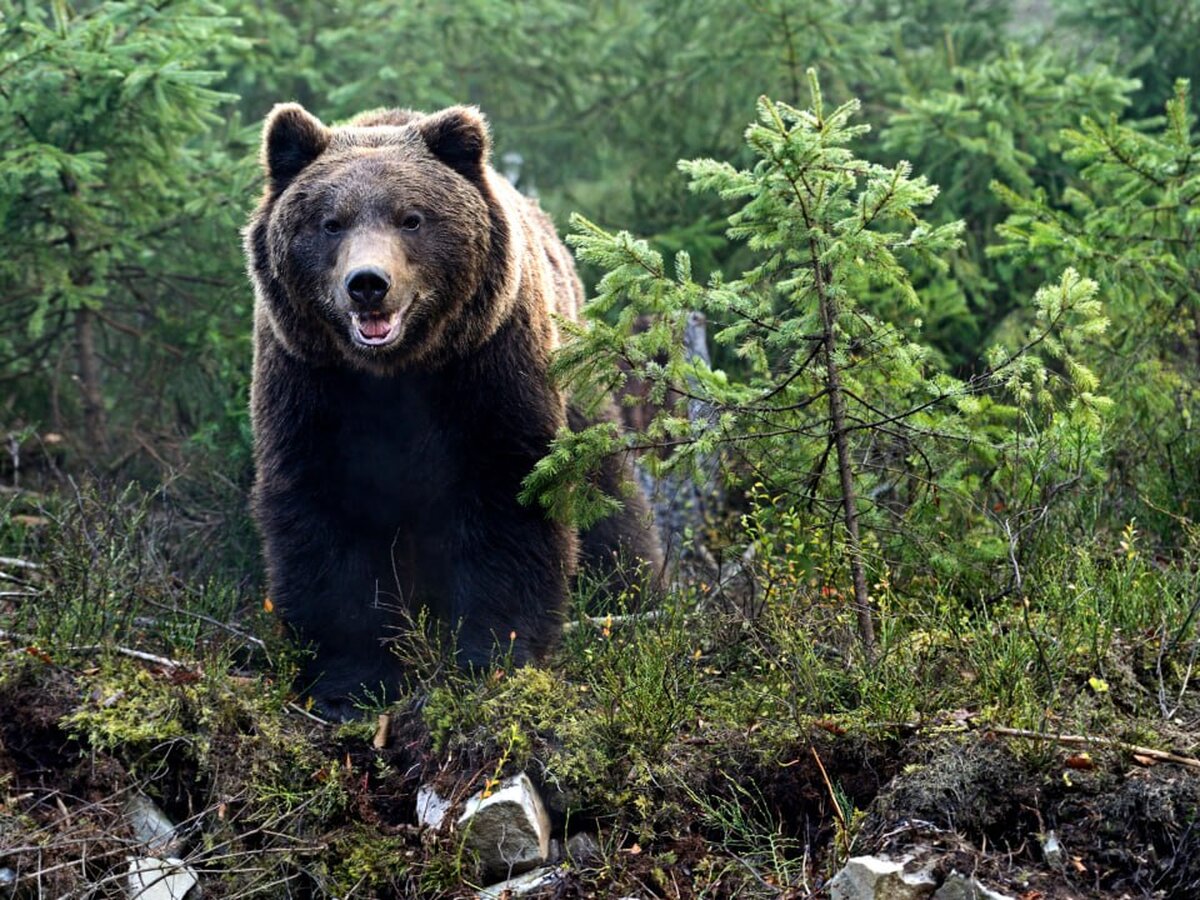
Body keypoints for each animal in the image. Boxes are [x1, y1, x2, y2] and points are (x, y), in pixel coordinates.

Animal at [243, 102, 657, 720]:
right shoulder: (311, 385)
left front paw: (491, 659)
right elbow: (326, 521)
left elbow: (509, 499)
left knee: (609, 500)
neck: (396, 371)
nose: (368, 284)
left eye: (411, 218)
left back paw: (634, 594)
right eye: (330, 222)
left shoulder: (487, 369)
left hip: (576, 383)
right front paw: (350, 685)